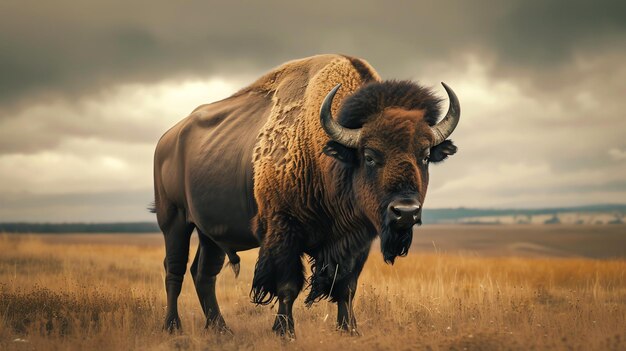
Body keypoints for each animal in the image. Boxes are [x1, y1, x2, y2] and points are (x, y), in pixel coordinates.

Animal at [153, 55, 458, 338]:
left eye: (425, 156)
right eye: (370, 156)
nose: (405, 211)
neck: (322, 153)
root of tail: (166, 139)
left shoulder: (358, 241)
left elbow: (347, 287)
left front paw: (350, 330)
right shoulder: (284, 232)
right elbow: (288, 286)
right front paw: (285, 331)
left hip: (211, 235)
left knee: (204, 273)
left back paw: (220, 329)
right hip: (174, 223)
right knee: (174, 270)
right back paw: (172, 326)